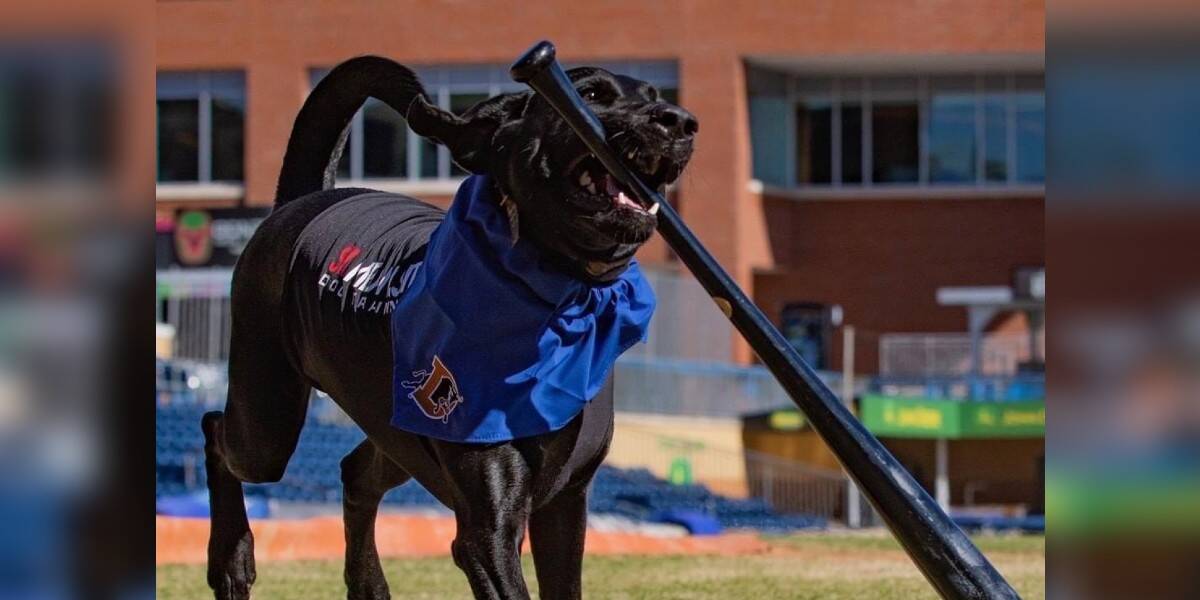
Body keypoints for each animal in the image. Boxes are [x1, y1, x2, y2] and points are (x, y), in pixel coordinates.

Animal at [202, 54, 700, 597]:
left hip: (394, 427)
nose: (679, 121)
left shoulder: (566, 504)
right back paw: (230, 559)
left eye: (655, 94)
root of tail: (303, 200)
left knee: (356, 471)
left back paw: (368, 583)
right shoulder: (488, 528)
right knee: (217, 432)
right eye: (588, 94)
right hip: (266, 418)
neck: (562, 298)